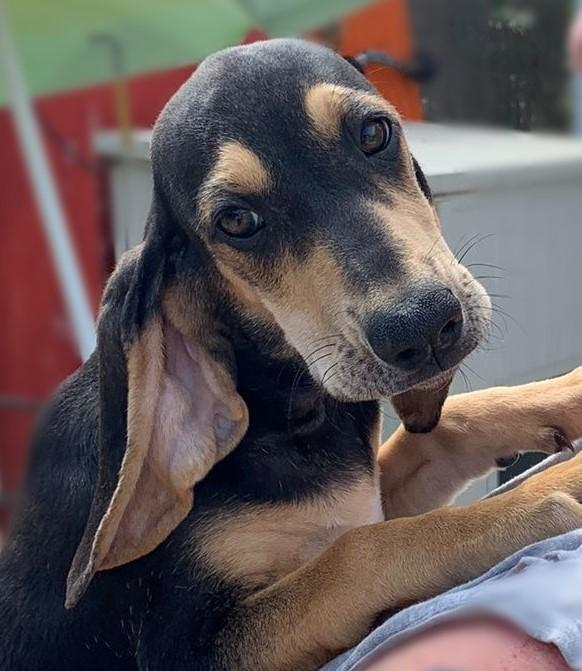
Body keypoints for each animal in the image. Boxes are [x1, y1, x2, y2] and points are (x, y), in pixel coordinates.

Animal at [2, 39, 582, 671]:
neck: (285, 406)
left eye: (374, 134)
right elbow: (361, 551)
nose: (424, 327)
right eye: (237, 221)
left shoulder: (359, 494)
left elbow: (444, 429)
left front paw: (567, 396)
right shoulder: (194, 647)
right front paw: (541, 497)